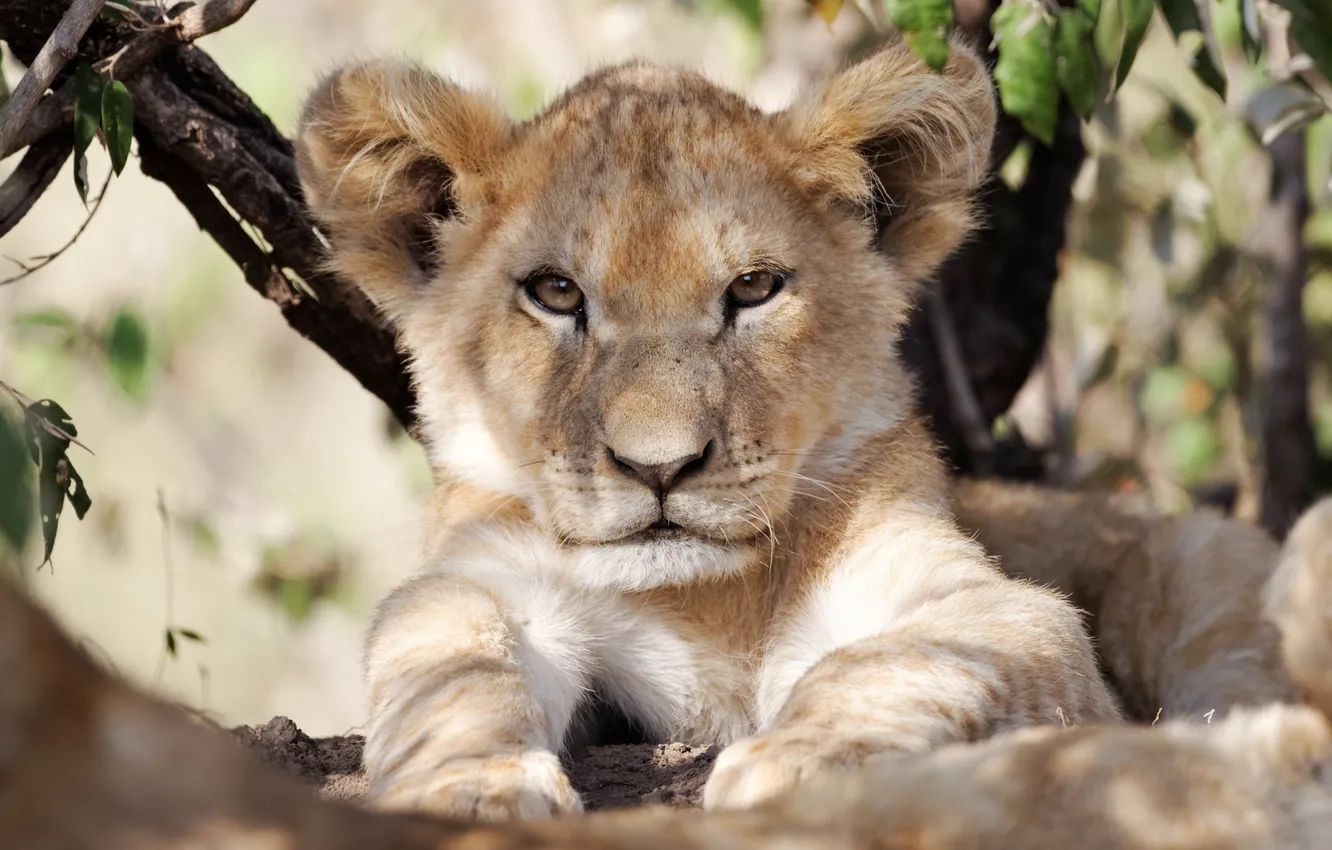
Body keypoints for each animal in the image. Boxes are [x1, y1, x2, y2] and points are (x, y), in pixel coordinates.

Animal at [291, 33, 1298, 822]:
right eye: (556, 293)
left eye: (753, 288)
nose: (660, 468)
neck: (701, 598)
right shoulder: (482, 580)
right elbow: (451, 669)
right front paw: (469, 785)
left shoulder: (985, 601)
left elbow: (896, 663)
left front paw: (797, 760)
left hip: (1210, 570)